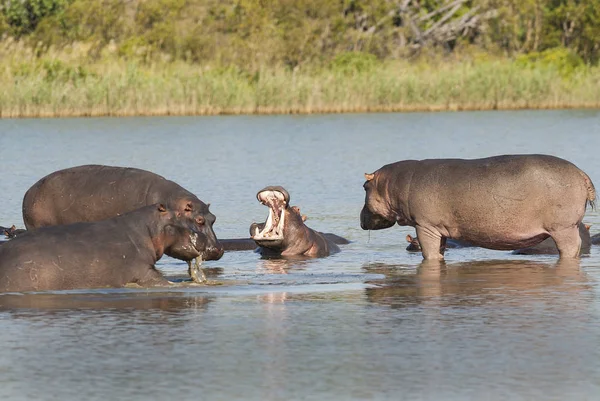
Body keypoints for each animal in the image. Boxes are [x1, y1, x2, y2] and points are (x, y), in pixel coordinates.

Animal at [360, 153, 596, 260]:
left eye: (364, 186)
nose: (361, 219)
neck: (392, 184)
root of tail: (581, 173)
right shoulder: (439, 230)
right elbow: (439, 251)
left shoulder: (425, 225)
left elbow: (429, 253)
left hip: (563, 228)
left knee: (569, 249)